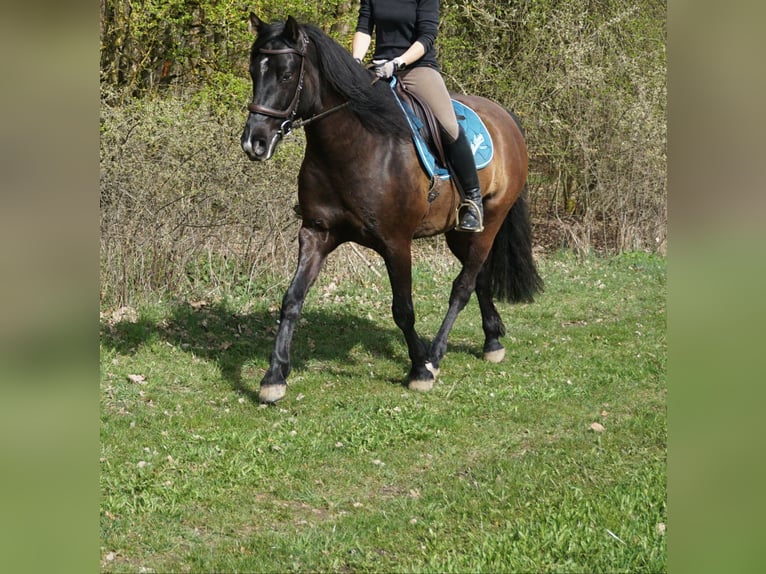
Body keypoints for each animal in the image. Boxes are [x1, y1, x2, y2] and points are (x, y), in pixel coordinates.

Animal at [243, 15, 544, 408]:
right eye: (253, 72)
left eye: (286, 74)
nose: (254, 142)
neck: (353, 144)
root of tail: (504, 116)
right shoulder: (316, 233)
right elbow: (292, 299)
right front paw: (274, 377)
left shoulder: (396, 243)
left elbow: (403, 309)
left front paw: (419, 369)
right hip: (457, 232)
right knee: (478, 277)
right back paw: (491, 340)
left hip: (489, 221)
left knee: (463, 286)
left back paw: (436, 354)